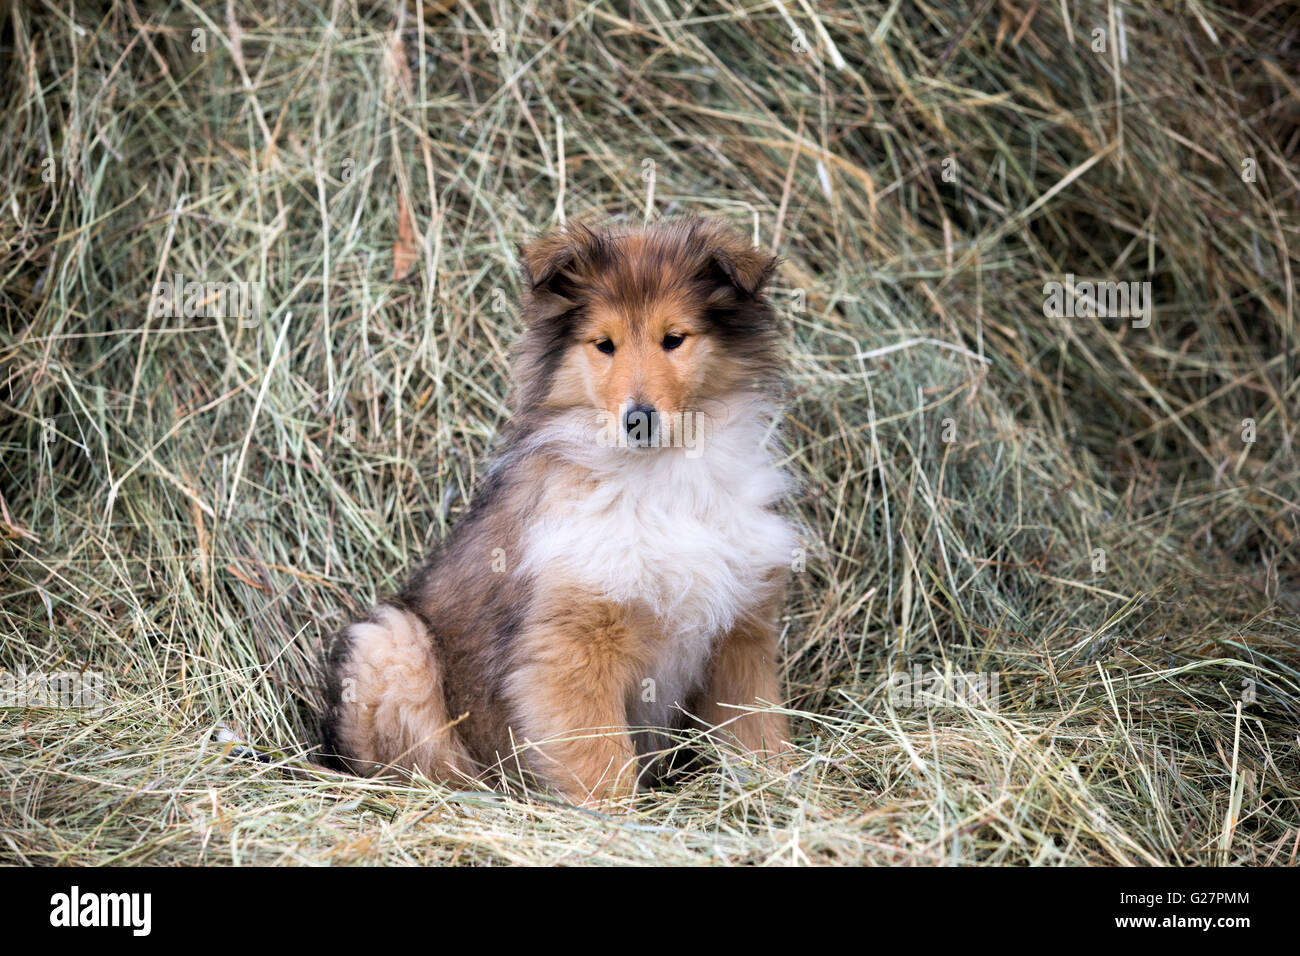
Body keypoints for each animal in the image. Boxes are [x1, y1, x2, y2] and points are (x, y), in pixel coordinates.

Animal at [319, 218, 795, 806]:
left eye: (674, 338)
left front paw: (781, 789)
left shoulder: (741, 635)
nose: (639, 420)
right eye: (604, 344)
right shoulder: (569, 648)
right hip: (391, 642)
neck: (661, 477)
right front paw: (617, 818)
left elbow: (757, 730)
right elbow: (600, 762)